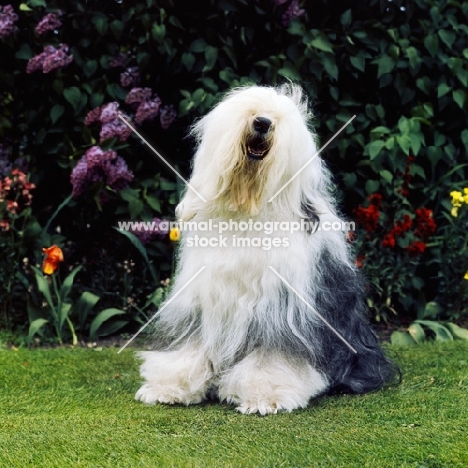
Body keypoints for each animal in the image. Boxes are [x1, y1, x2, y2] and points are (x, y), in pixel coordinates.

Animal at [136, 84, 398, 414]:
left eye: (278, 119)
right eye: (252, 111)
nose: (262, 122)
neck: (247, 206)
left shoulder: (280, 307)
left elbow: (272, 354)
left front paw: (266, 395)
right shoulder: (203, 298)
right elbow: (192, 346)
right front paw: (170, 387)